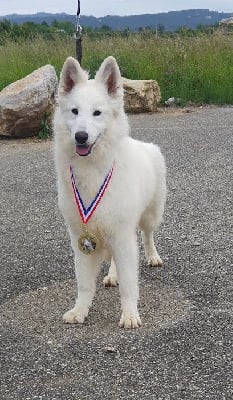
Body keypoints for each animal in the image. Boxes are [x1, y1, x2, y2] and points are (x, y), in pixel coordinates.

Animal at [53, 55, 166, 328]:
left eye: (97, 113)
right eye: (75, 111)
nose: (81, 136)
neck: (93, 171)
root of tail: (148, 146)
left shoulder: (123, 236)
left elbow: (129, 283)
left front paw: (130, 314)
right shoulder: (81, 239)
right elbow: (84, 283)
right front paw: (80, 310)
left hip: (150, 217)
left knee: (147, 237)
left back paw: (153, 256)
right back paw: (112, 276)